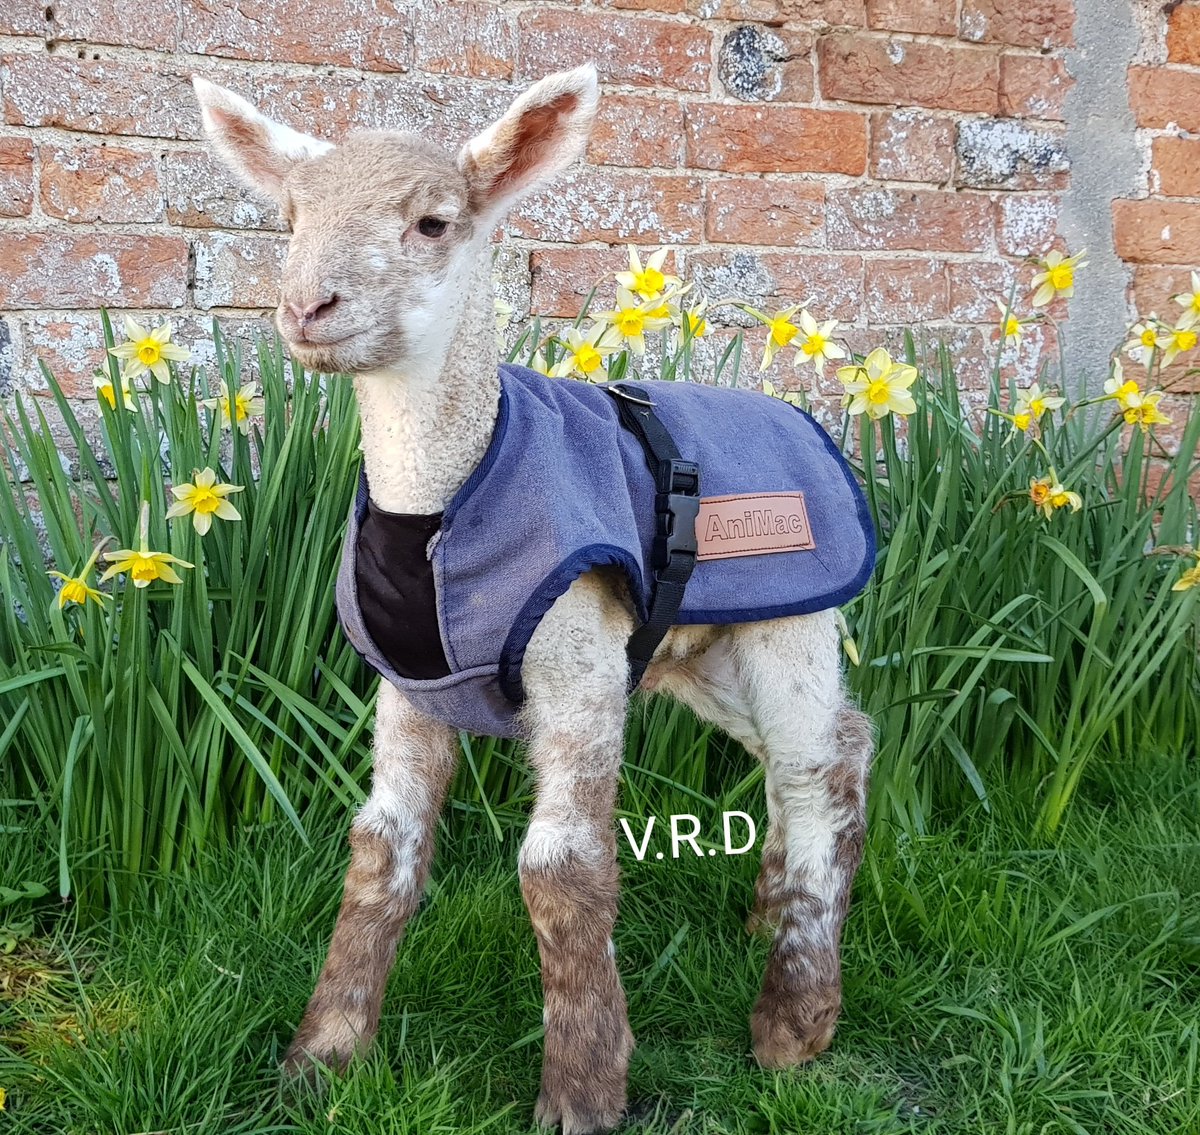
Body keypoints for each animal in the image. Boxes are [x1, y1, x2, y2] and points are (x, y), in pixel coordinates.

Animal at [193, 66, 875, 1135]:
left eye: (432, 223)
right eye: (291, 219)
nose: (307, 307)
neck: (444, 504)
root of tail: (802, 417)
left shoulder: (577, 657)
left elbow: (563, 868)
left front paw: (583, 1092)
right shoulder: (410, 683)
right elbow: (381, 848)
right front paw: (321, 1060)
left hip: (790, 614)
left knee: (812, 769)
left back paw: (794, 1016)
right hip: (698, 651)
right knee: (839, 745)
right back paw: (771, 922)